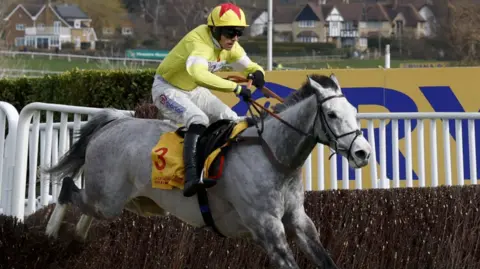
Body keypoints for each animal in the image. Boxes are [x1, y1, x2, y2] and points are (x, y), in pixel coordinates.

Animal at [43, 73, 372, 268]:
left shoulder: (299, 221)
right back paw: (50, 232)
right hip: (108, 199)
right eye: (332, 114)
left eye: (354, 112)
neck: (272, 155)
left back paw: (77, 238)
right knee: (68, 187)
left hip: (128, 202)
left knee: (85, 204)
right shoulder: (267, 227)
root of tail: (113, 123)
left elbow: (325, 259)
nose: (363, 152)